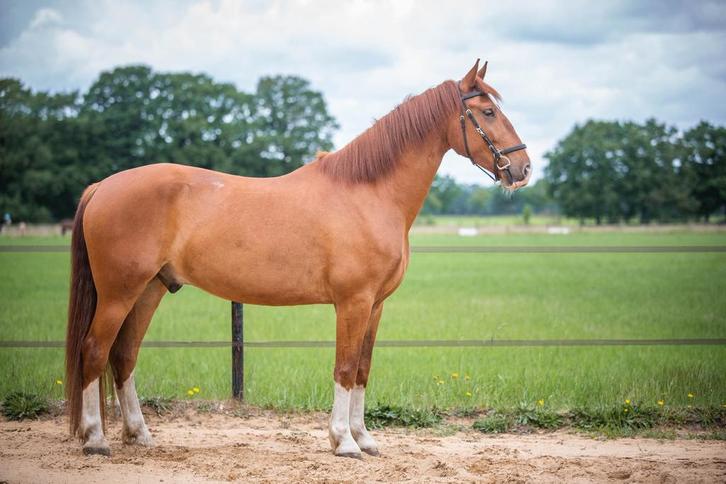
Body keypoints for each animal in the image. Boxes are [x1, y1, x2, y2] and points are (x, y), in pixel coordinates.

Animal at [65, 59, 531, 458]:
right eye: (488, 111)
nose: (523, 169)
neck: (368, 193)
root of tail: (103, 186)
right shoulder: (353, 302)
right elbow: (345, 368)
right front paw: (343, 442)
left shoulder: (376, 306)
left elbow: (363, 369)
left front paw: (365, 439)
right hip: (119, 294)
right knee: (94, 349)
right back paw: (96, 439)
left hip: (150, 290)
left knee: (123, 356)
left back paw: (139, 434)